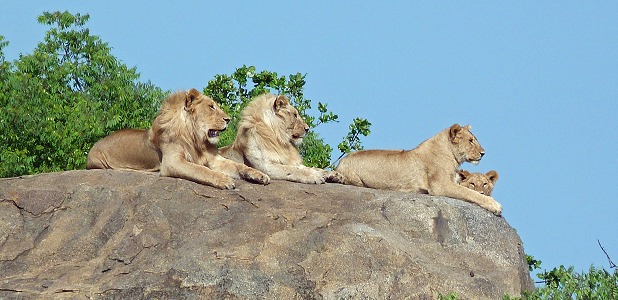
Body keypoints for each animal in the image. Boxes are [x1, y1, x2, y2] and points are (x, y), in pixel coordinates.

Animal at [332, 124, 500, 216]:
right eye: (471, 141)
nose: (483, 153)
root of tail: (340, 164)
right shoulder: (440, 186)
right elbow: (469, 193)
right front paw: (494, 204)